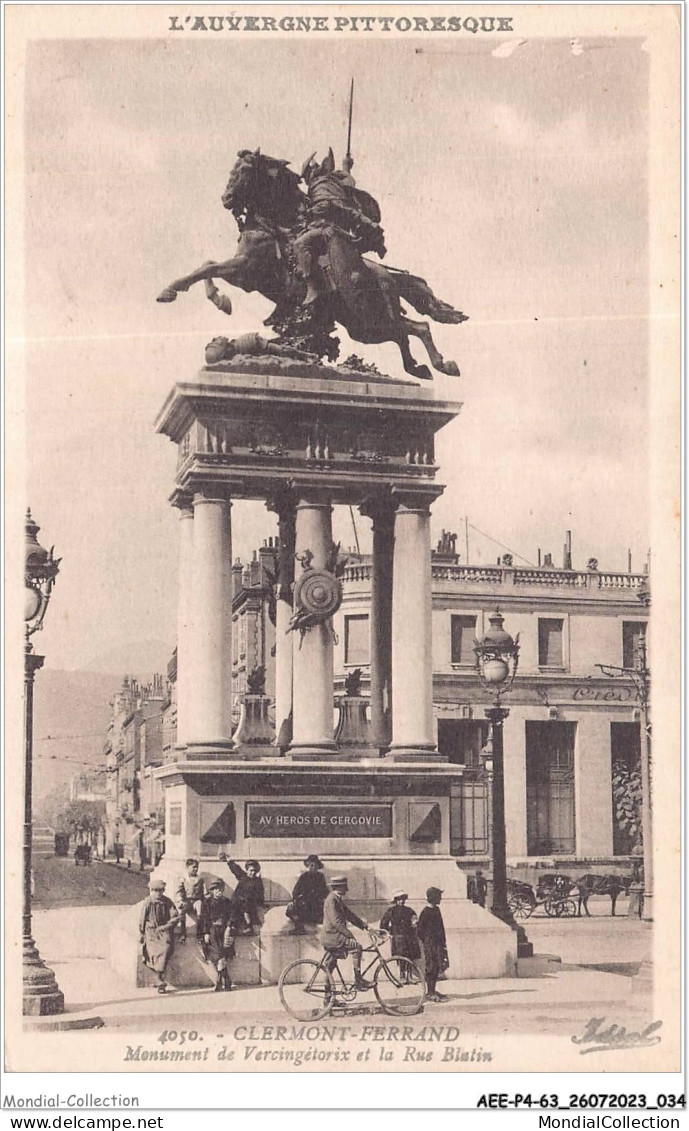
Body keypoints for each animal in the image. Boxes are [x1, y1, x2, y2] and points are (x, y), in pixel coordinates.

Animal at [158, 148, 463, 380]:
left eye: (244, 171)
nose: (226, 198)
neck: (272, 224)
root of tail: (387, 275)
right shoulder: (243, 275)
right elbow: (208, 265)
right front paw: (220, 300)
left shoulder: (245, 268)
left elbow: (206, 268)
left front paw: (170, 290)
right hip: (363, 327)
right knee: (404, 333)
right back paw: (418, 367)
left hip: (368, 317)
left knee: (417, 328)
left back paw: (442, 365)